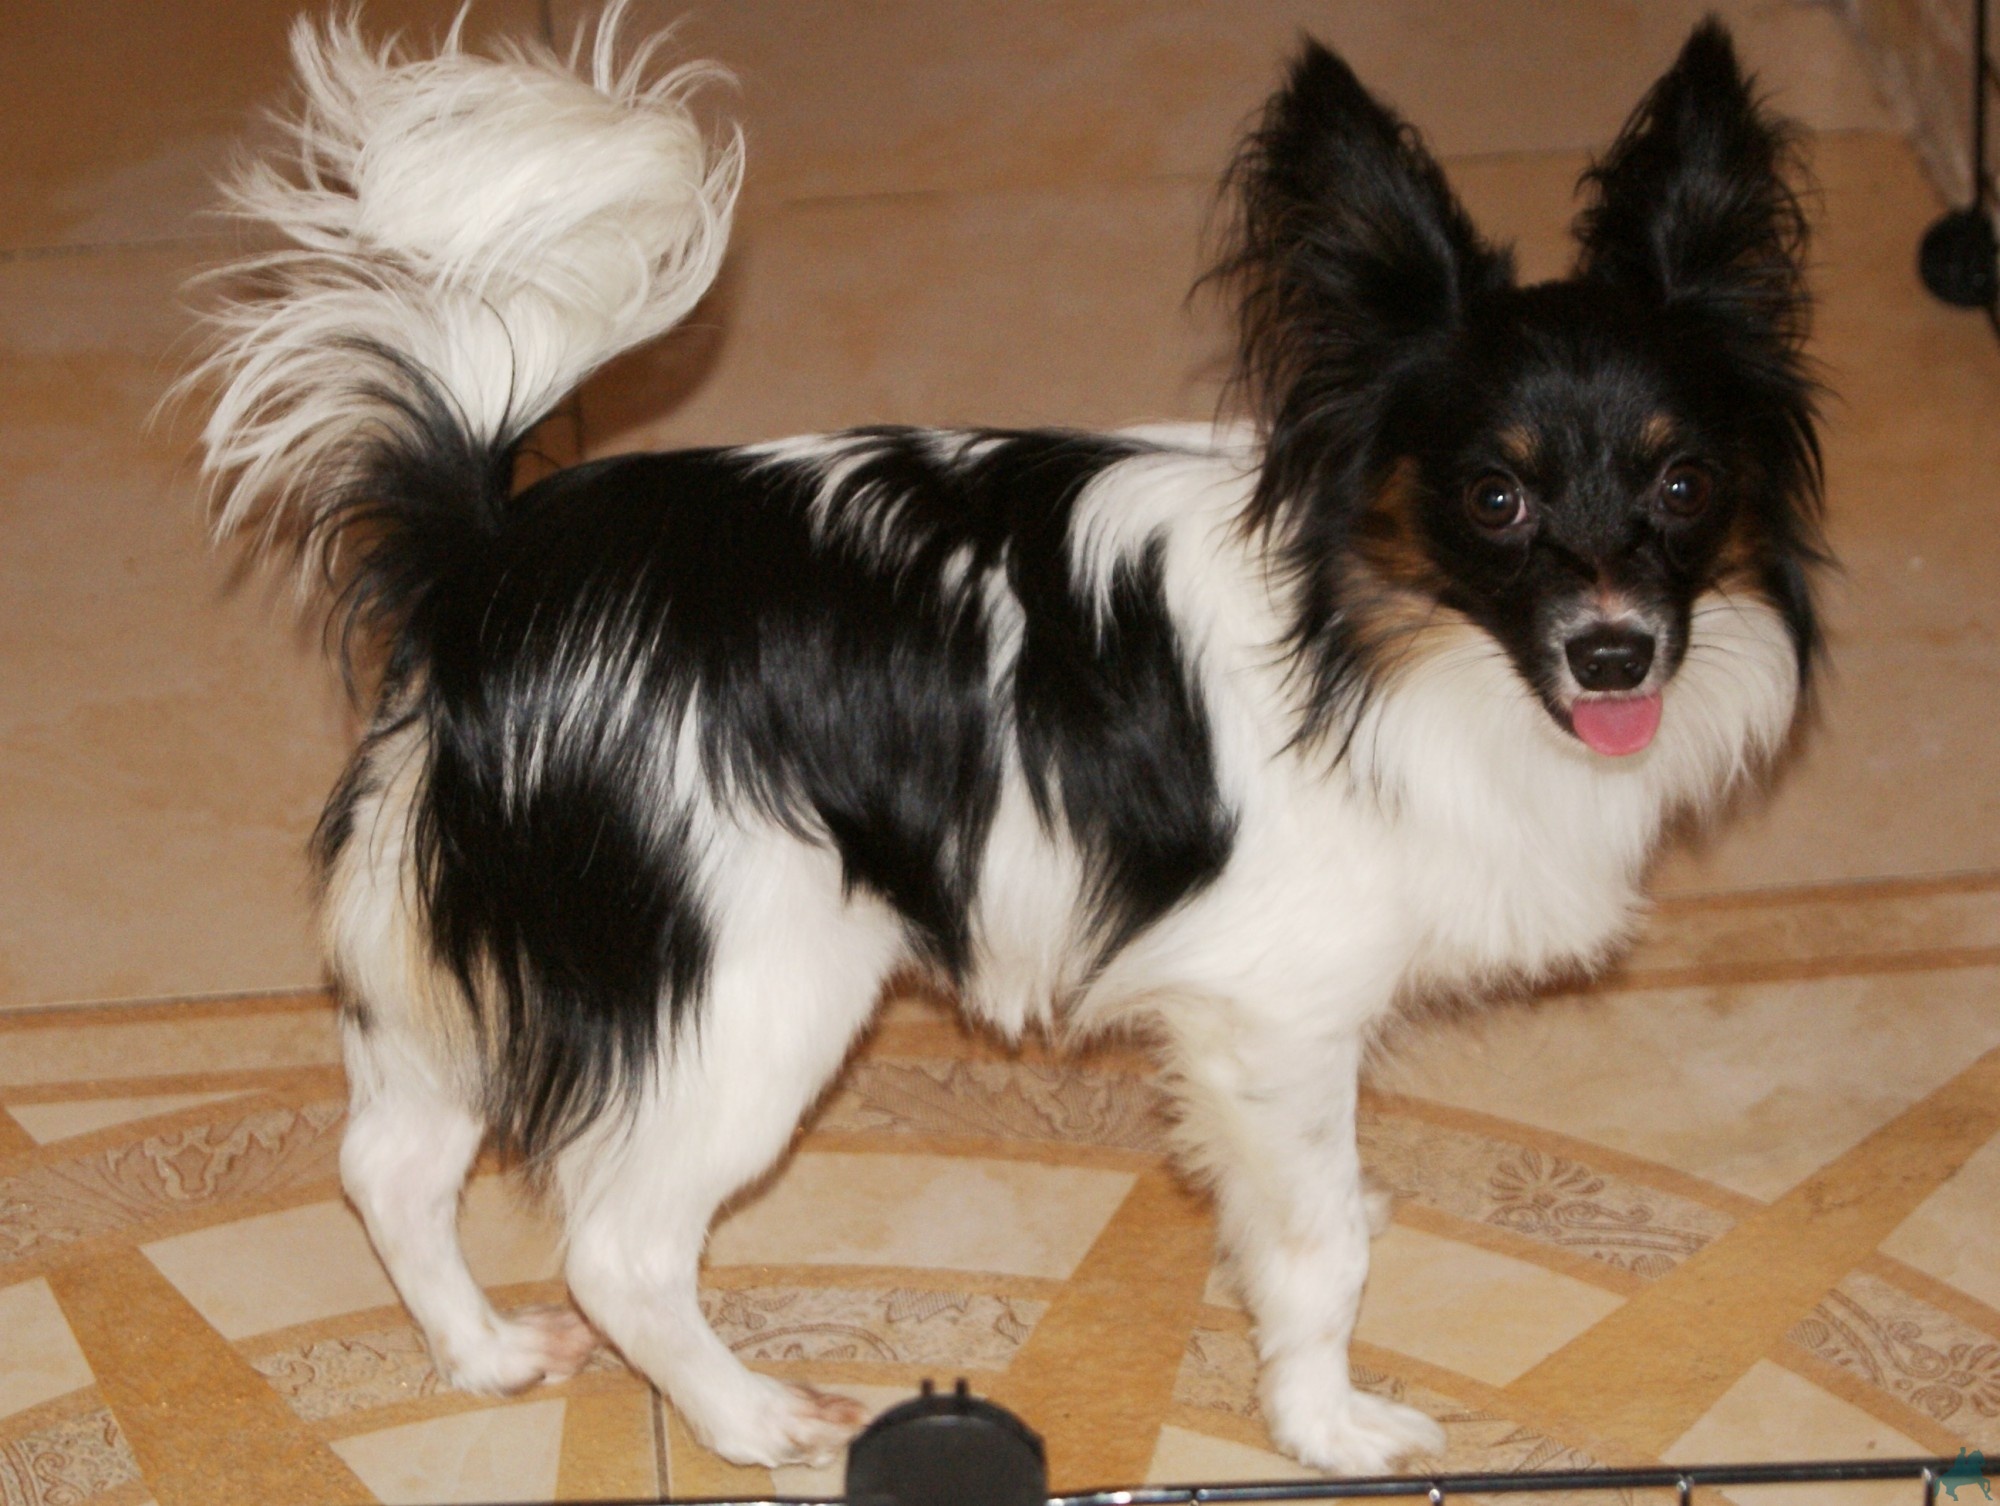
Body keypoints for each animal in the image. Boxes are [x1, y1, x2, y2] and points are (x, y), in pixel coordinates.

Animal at [188, 4, 1823, 1475]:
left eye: (1683, 485)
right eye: (1495, 497)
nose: (1614, 648)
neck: (1372, 626)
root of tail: (489, 562)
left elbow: (1315, 1215)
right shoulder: (1274, 1021)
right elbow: (1316, 1252)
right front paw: (1326, 1424)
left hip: (461, 958)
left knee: (389, 1164)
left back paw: (478, 1356)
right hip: (752, 990)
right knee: (618, 1244)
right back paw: (748, 1419)